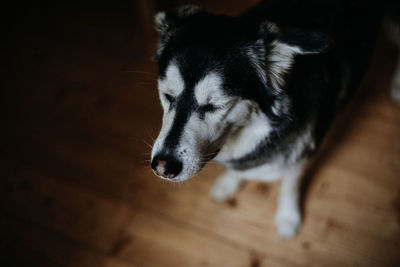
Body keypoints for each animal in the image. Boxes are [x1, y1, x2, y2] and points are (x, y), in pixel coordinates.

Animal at [148, 1, 396, 240]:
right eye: (167, 95)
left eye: (215, 105)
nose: (162, 167)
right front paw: (230, 182)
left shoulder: (301, 153)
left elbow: (289, 186)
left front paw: (288, 217)